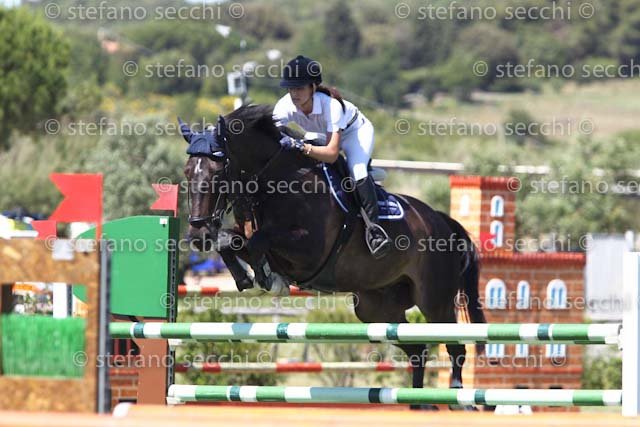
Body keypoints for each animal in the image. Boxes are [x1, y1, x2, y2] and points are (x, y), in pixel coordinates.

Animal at [182, 105, 486, 408]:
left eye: (218, 173)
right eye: (187, 173)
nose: (198, 234)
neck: (274, 185)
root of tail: (440, 220)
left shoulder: (309, 252)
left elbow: (258, 242)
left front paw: (267, 278)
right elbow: (230, 241)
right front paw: (248, 277)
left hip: (434, 301)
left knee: (455, 346)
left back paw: (461, 401)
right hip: (376, 309)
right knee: (418, 348)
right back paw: (419, 404)